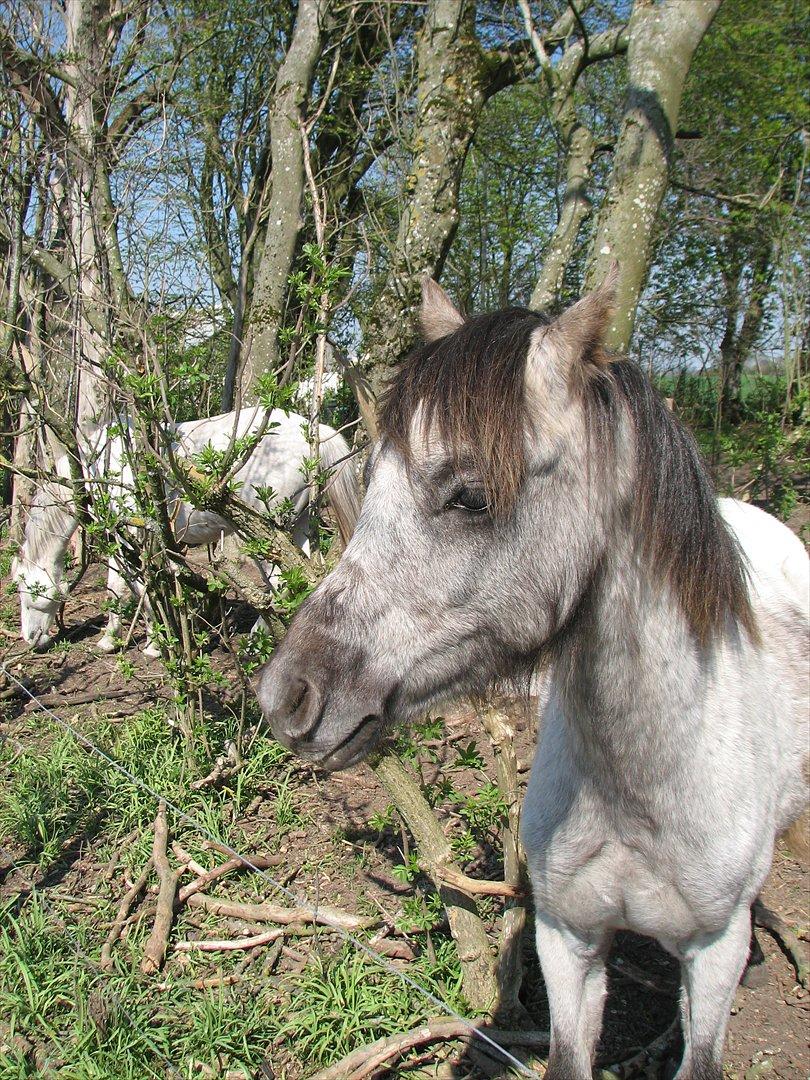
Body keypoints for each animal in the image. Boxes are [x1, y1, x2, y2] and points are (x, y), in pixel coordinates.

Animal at [13, 407, 360, 653]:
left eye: (27, 592)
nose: (30, 638)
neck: (99, 464)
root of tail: (314, 432)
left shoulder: (125, 534)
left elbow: (125, 586)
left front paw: (135, 642)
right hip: (297, 524)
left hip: (265, 531)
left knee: (276, 579)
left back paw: (257, 638)